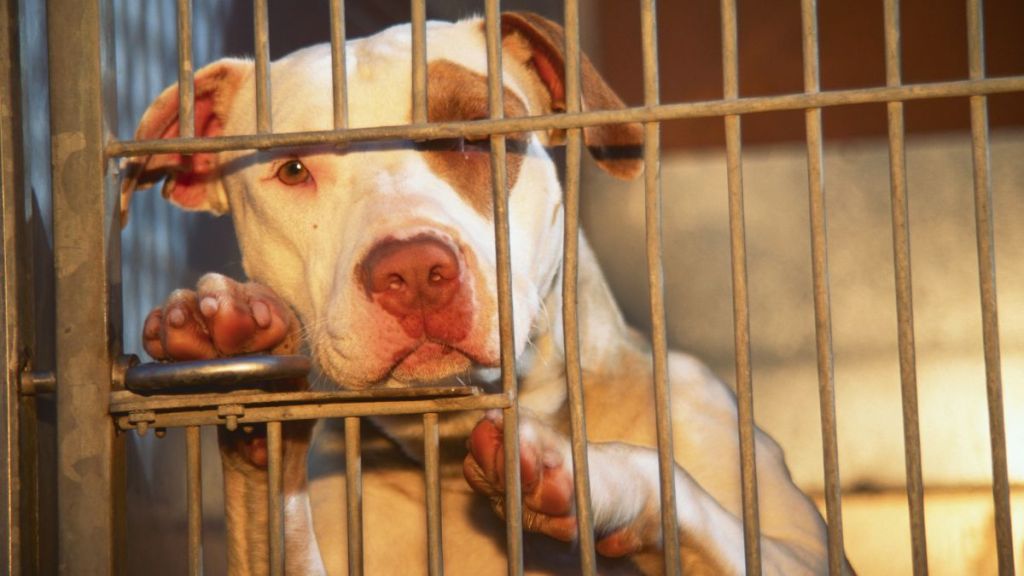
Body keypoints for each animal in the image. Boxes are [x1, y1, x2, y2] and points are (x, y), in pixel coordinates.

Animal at [119, 11, 847, 569]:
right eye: (293, 169)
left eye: (473, 137)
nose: (414, 271)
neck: (445, 455)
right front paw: (237, 350)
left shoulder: (793, 543)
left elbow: (683, 492)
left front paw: (583, 470)